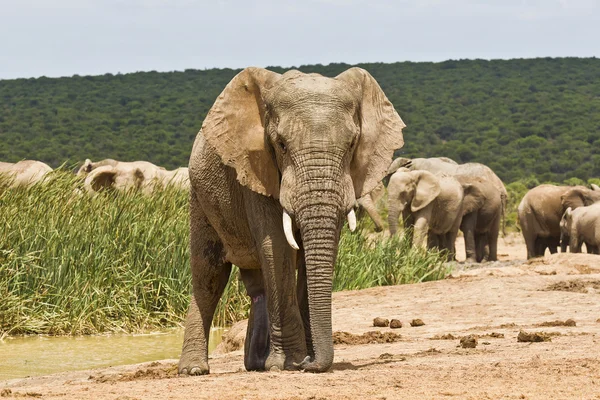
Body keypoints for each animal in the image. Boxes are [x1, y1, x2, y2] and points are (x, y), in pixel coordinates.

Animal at [180, 66, 406, 376]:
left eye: (351, 145)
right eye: (282, 145)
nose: (309, 363)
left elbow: (314, 255)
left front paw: (299, 361)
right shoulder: (257, 169)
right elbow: (277, 247)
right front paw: (290, 363)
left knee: (257, 285)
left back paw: (256, 365)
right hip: (199, 195)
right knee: (208, 274)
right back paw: (194, 370)